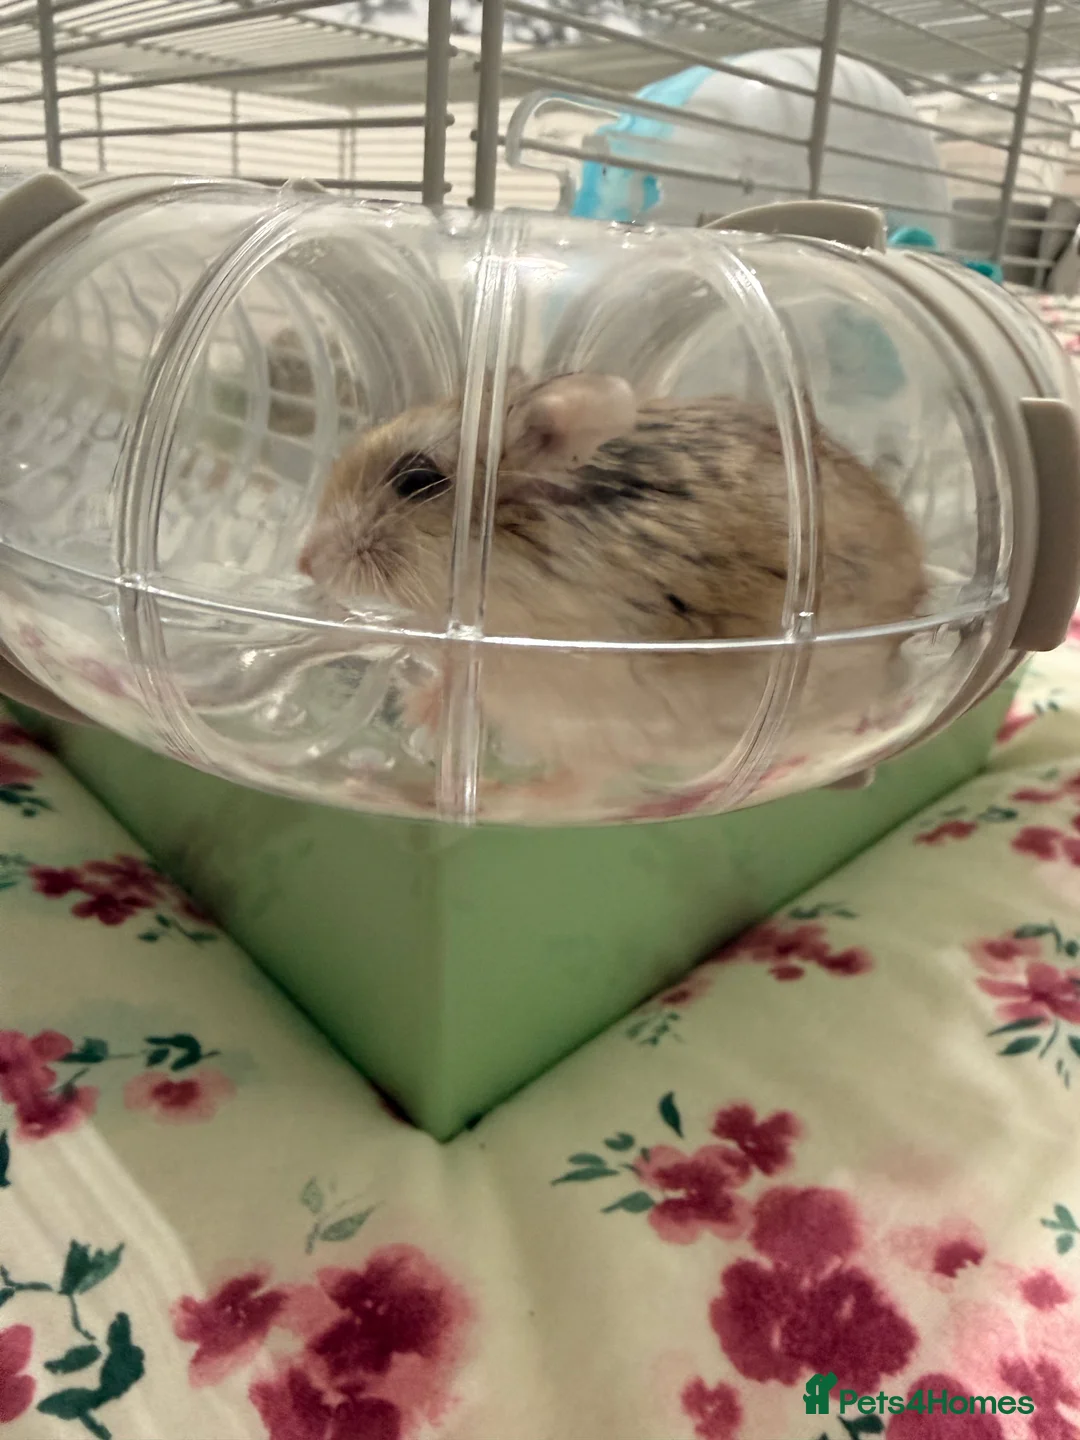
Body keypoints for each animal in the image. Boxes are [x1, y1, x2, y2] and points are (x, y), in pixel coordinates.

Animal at [298, 371, 927, 797]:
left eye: (418, 480)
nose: (303, 561)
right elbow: (452, 669)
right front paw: (415, 709)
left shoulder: (593, 713)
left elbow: (575, 779)